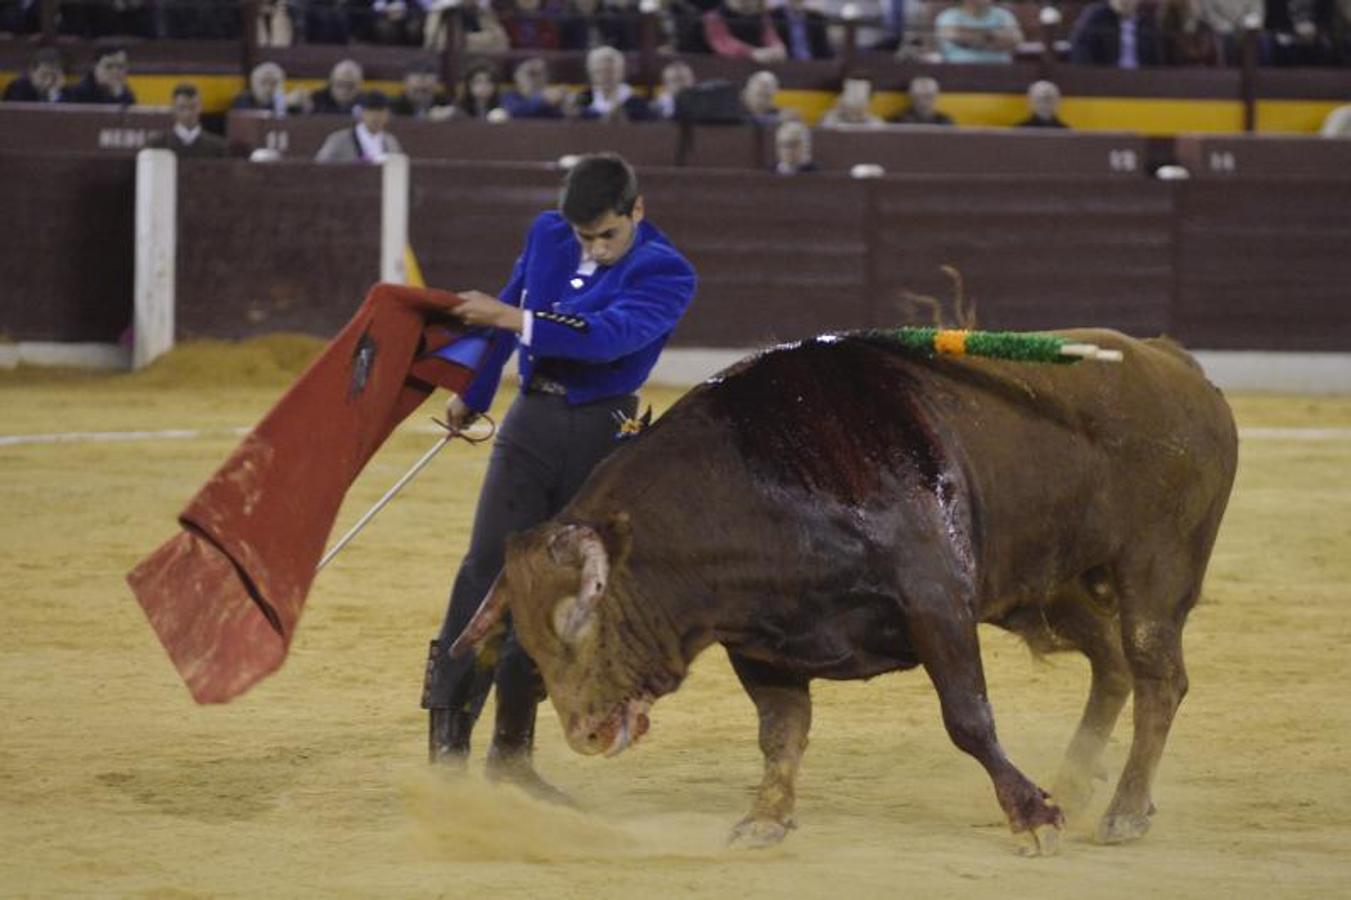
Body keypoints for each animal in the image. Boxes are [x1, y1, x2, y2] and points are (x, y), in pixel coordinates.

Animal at [451, 328, 1237, 848]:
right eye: (525, 637)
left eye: (578, 622)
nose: (583, 733)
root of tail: (1175, 363)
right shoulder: (759, 642)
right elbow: (780, 733)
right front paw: (764, 819)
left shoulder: (937, 603)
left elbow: (967, 718)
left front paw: (1028, 814)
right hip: (1047, 588)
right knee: (1112, 664)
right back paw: (1075, 780)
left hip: (1153, 570)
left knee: (1156, 676)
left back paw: (1124, 810)